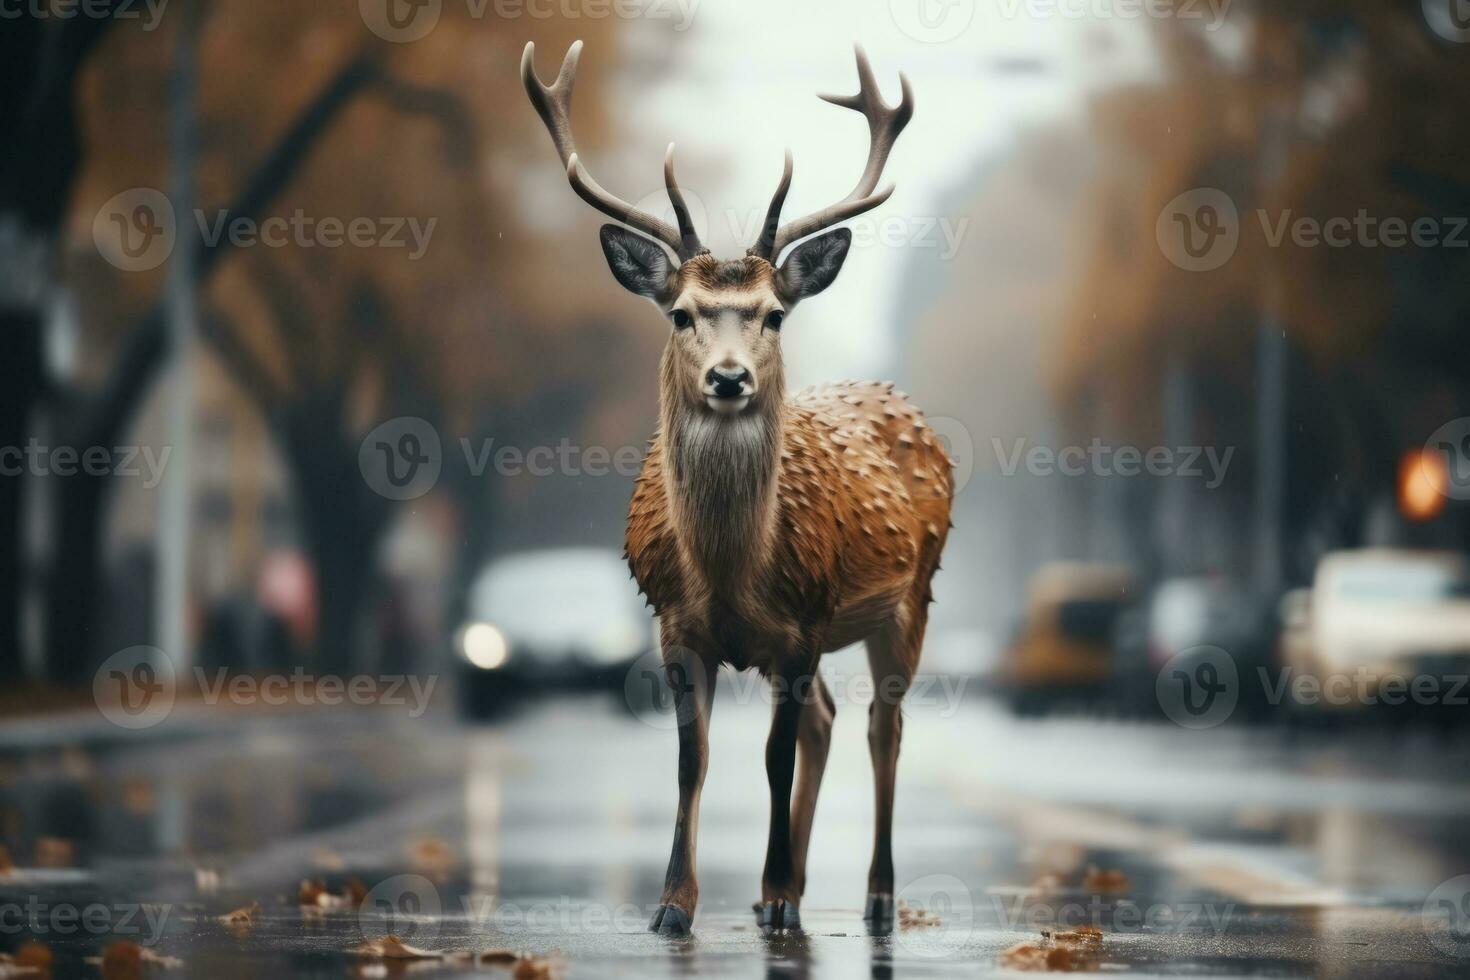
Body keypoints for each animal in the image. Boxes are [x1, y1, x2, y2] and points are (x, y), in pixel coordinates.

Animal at [520, 38, 952, 940]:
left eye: (773, 314)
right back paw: (777, 893)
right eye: (681, 312)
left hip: (910, 597)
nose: (728, 378)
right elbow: (695, 758)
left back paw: (873, 896)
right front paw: (674, 906)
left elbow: (773, 756)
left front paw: (782, 894)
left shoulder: (800, 626)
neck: (728, 572)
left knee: (882, 726)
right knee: (829, 720)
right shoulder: (676, 625)